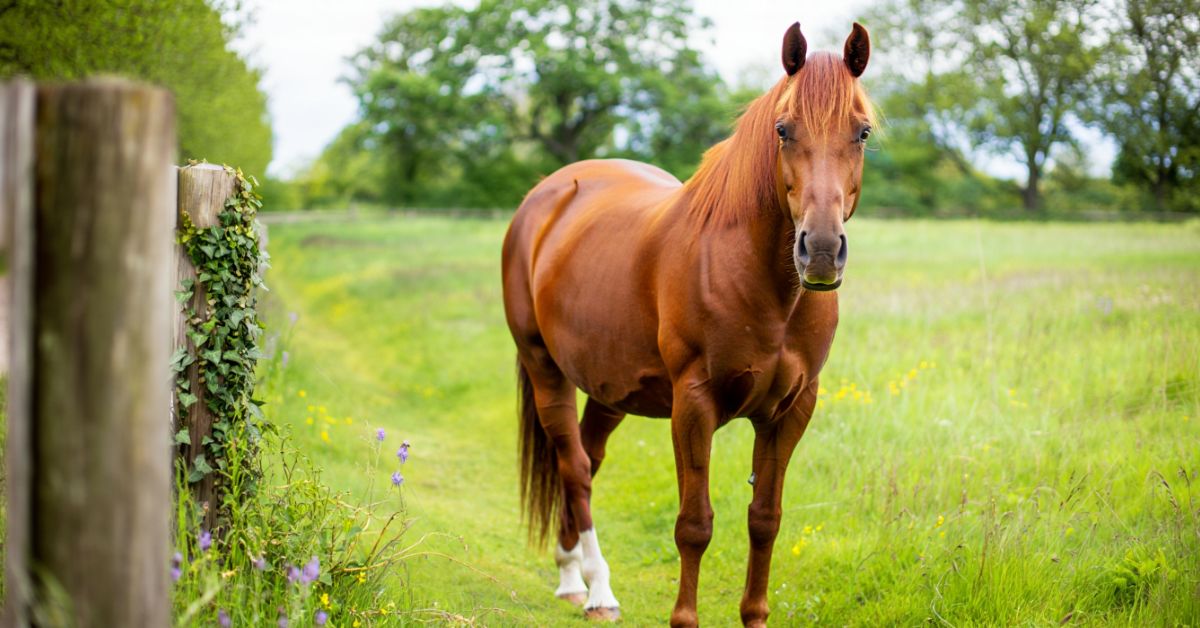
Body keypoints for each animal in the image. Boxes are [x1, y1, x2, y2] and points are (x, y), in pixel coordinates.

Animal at [501, 21, 874, 627]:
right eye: (783, 129)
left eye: (862, 131)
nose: (820, 251)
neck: (769, 290)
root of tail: (545, 195)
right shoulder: (694, 404)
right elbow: (694, 526)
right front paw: (684, 617)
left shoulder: (792, 410)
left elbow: (765, 520)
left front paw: (755, 615)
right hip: (543, 368)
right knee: (574, 466)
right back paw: (597, 588)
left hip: (609, 386)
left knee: (587, 458)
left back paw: (570, 574)